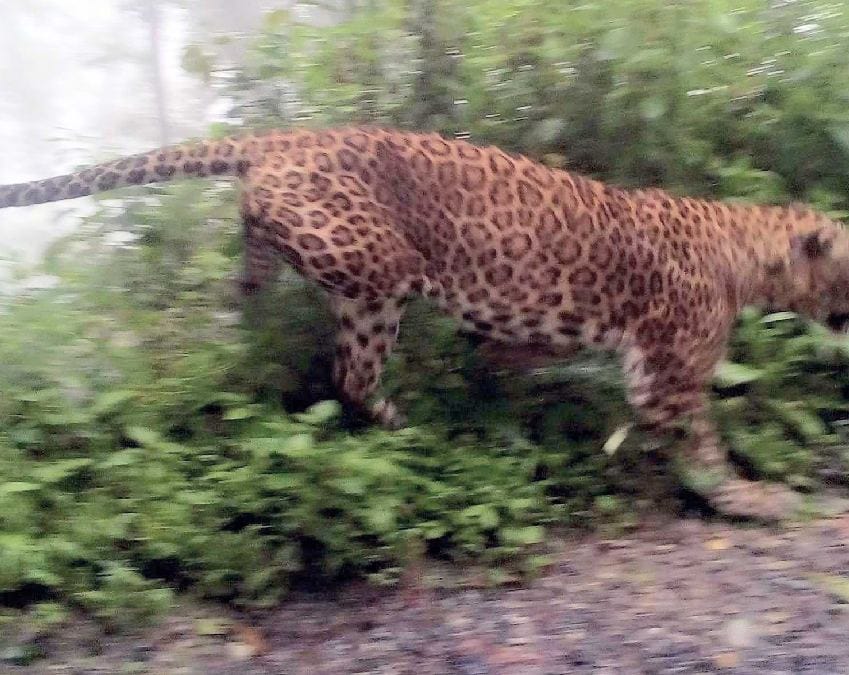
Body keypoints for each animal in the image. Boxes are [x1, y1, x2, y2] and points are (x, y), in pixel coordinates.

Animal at [3, 125, 849, 520]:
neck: (748, 248)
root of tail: (283, 134)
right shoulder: (667, 377)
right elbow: (703, 445)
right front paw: (752, 498)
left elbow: (516, 361)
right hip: (381, 268)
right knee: (347, 350)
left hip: (352, 291)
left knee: (336, 362)